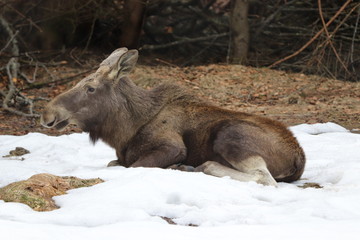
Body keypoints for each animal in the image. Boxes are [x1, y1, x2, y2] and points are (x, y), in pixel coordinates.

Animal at [43, 47, 306, 187]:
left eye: (90, 88)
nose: (48, 114)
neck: (125, 130)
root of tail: (299, 159)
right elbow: (113, 163)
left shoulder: (172, 147)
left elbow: (134, 166)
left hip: (230, 135)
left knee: (263, 177)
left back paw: (193, 167)